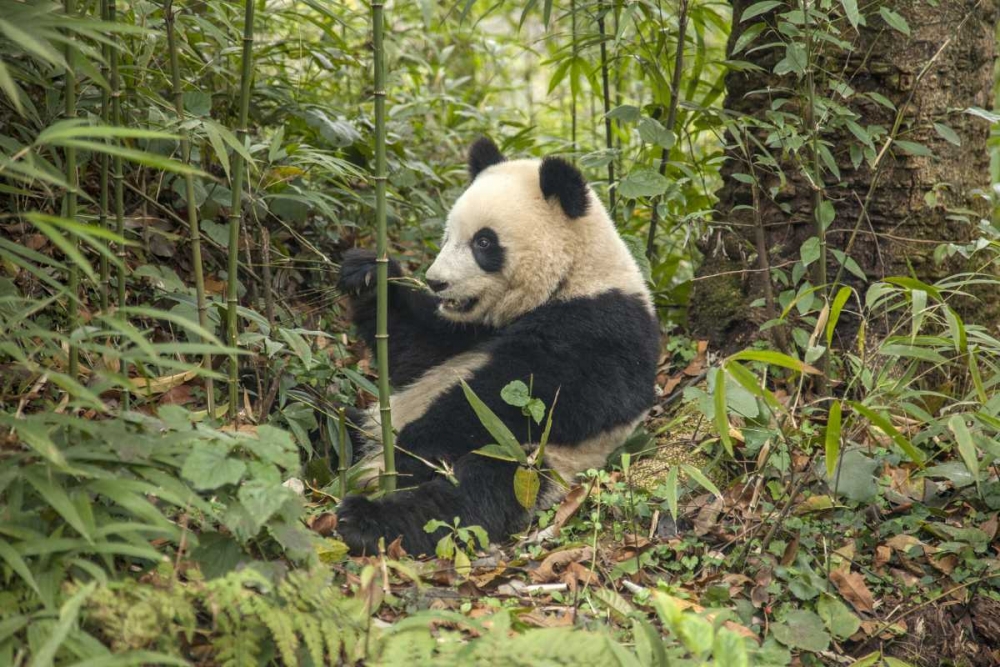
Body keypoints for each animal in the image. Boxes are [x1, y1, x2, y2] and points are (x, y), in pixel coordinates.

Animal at [336, 138, 660, 556]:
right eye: (447, 237)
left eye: (484, 242)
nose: (436, 282)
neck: (573, 275)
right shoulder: (469, 330)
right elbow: (416, 352)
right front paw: (367, 274)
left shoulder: (605, 324)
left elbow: (541, 395)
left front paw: (421, 438)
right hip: (374, 422)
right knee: (335, 422)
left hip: (532, 463)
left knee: (468, 495)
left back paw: (366, 518)